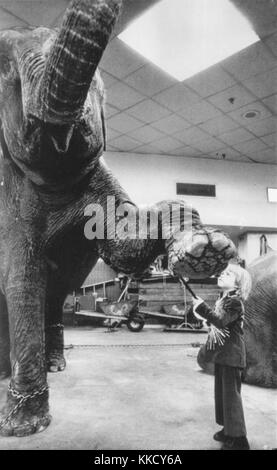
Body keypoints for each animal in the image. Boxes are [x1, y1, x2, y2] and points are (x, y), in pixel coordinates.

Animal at [0, 0, 235, 436]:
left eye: (99, 88)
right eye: (9, 77)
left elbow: (124, 243)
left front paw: (204, 251)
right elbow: (22, 276)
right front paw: (24, 427)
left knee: (57, 294)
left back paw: (56, 366)